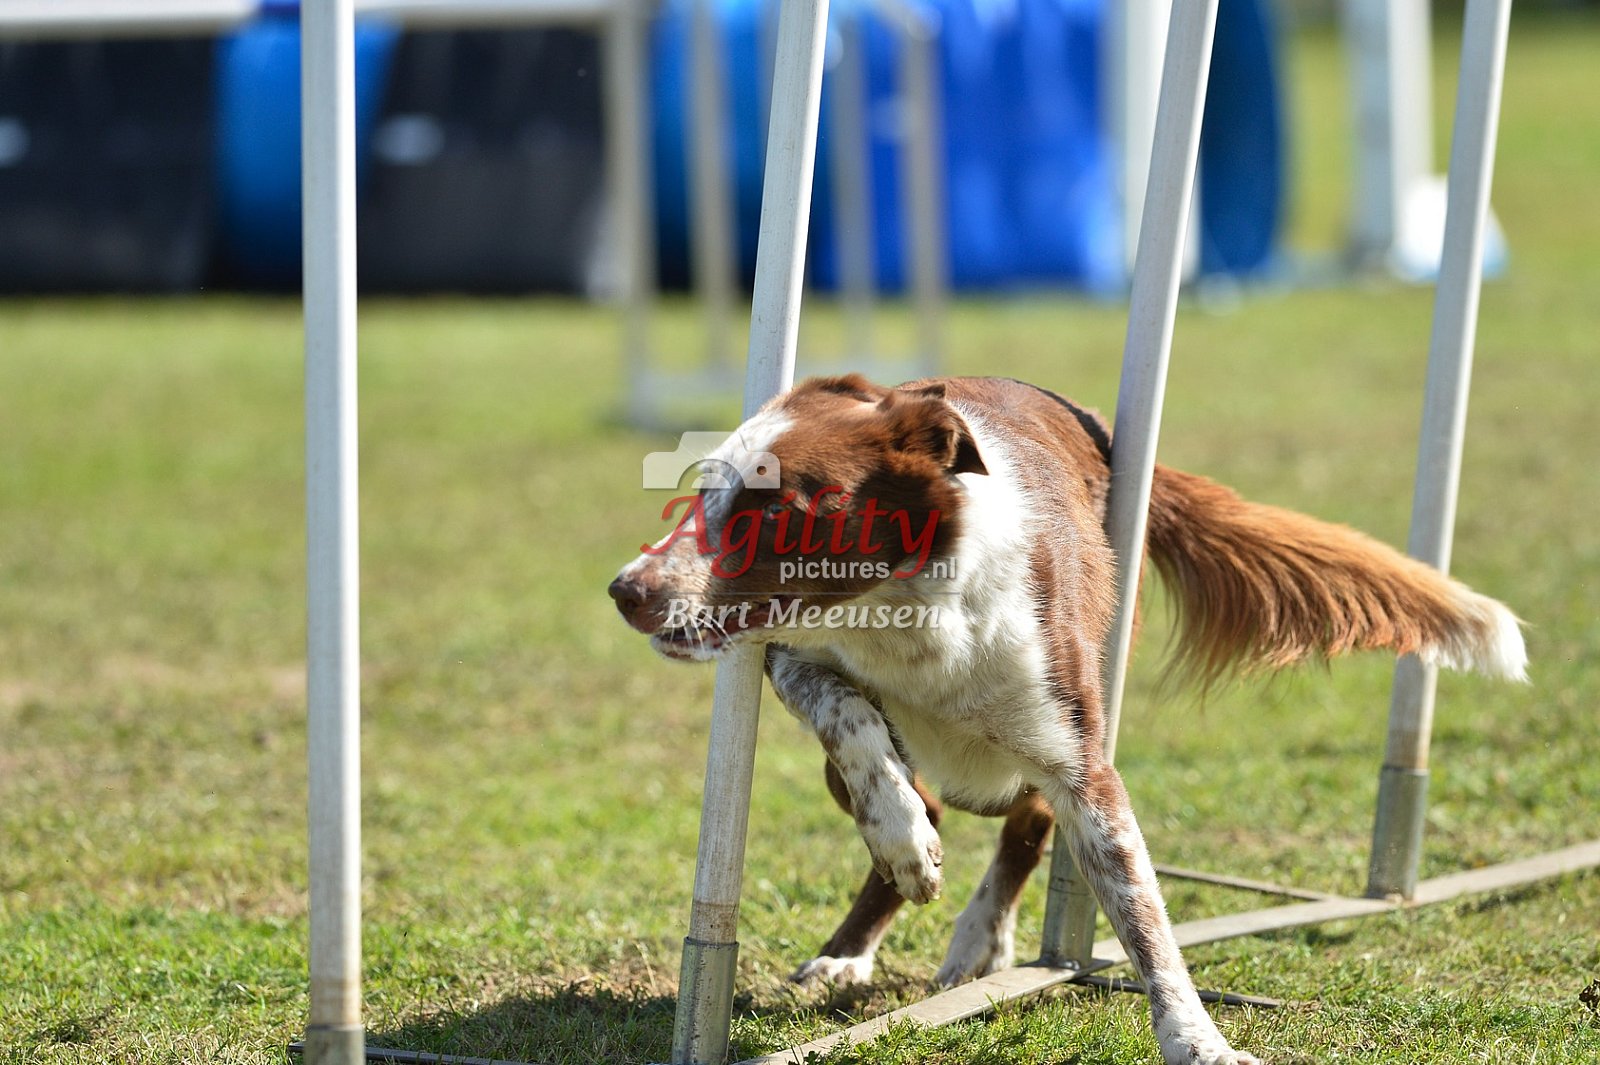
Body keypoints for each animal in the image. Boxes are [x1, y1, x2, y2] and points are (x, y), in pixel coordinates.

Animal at [609, 375, 1527, 1065]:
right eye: (703, 490)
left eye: (774, 503)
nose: (626, 590)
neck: (912, 614)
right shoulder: (792, 656)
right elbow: (852, 721)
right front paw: (906, 844)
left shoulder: (1083, 761)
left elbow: (1144, 918)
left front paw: (1199, 1041)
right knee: (916, 798)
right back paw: (861, 934)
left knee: (1025, 827)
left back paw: (978, 939)